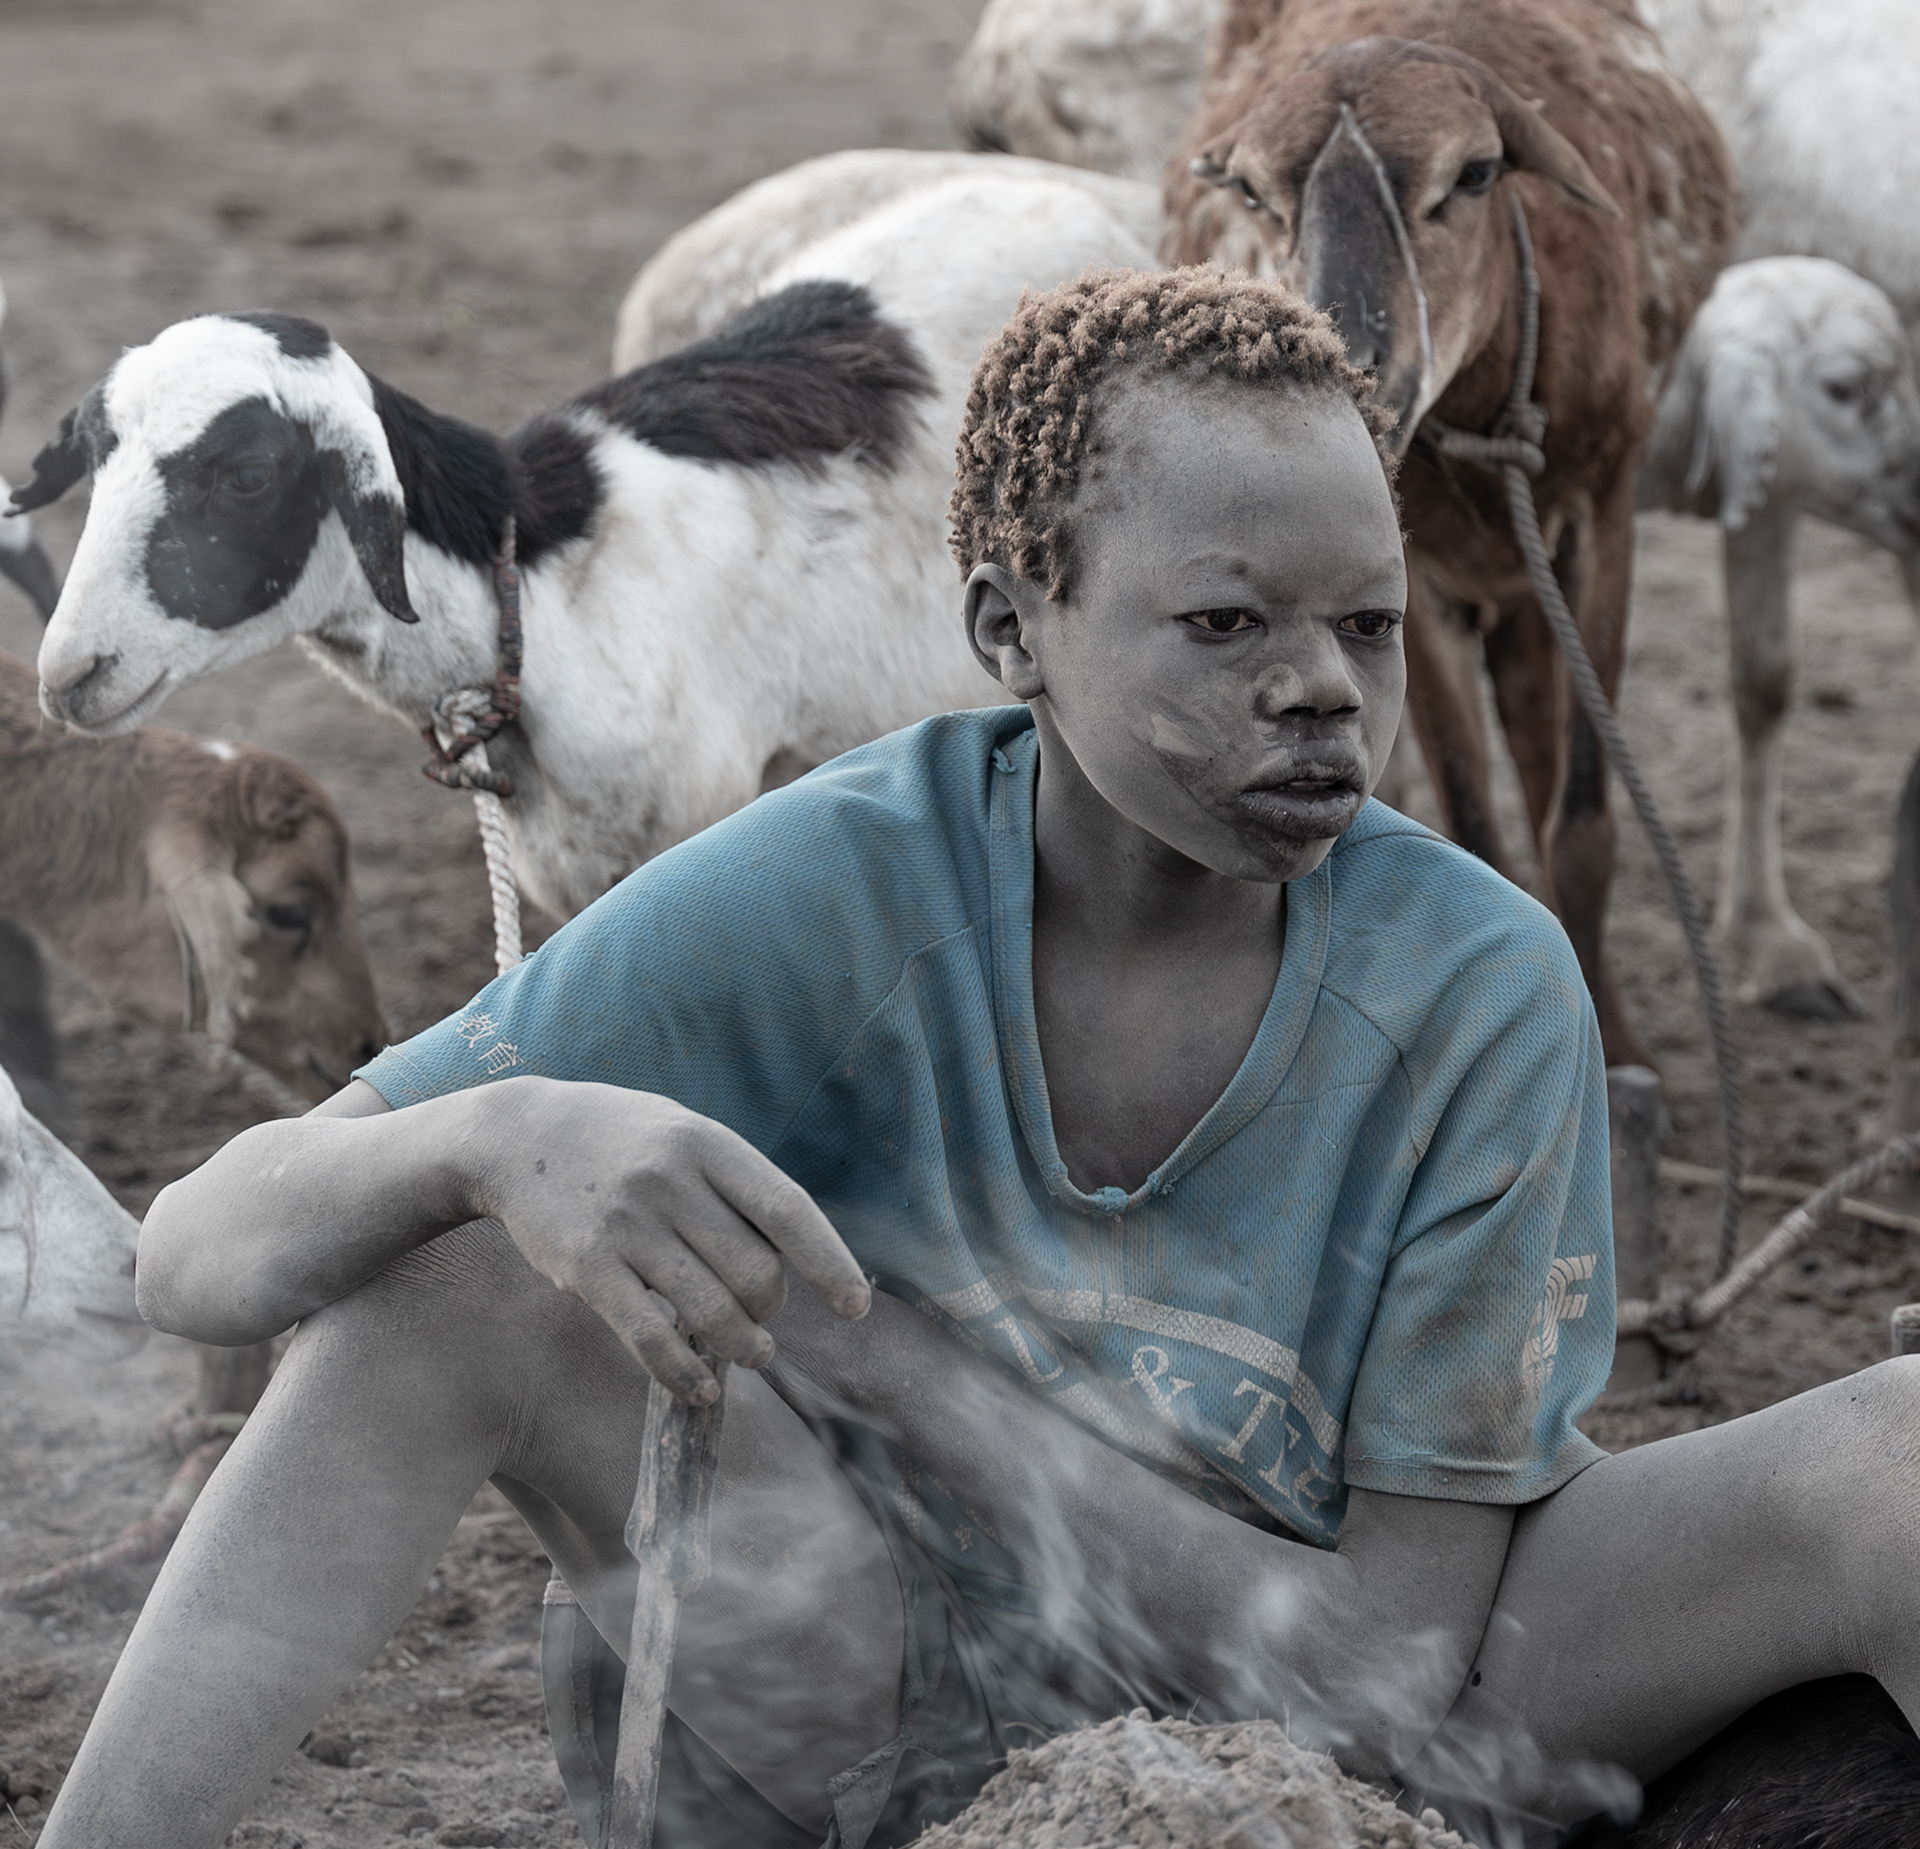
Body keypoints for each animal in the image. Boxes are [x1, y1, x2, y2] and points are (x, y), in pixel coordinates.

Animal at [1153, 0, 1736, 1068]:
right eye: (1254, 194)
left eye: (1472, 176)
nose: (1350, 359)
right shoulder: (1408, 579)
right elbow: (1470, 824)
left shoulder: (1605, 516)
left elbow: (1583, 824)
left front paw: (1622, 1053)